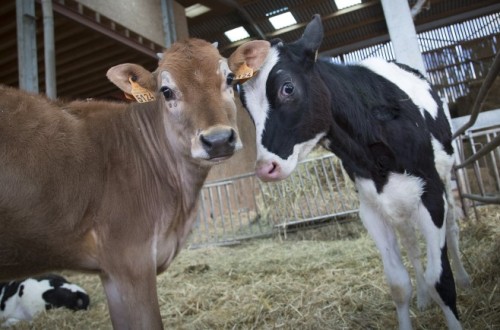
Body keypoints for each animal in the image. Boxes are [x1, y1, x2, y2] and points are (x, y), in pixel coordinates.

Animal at [229, 14, 470, 330]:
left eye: (287, 88)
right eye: (245, 104)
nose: (265, 168)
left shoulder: (431, 195)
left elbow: (441, 280)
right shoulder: (371, 208)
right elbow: (398, 285)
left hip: (444, 181)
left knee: (452, 228)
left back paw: (465, 277)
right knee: (411, 244)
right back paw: (422, 298)